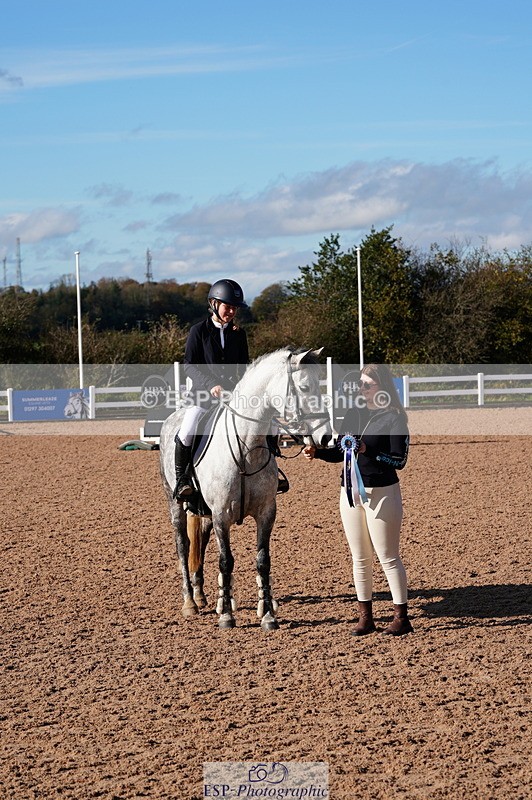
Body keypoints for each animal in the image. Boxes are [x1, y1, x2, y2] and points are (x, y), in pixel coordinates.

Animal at [159, 347, 332, 631]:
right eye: (305, 387)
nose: (326, 437)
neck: (245, 449)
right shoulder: (221, 515)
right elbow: (226, 560)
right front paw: (227, 617)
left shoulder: (266, 513)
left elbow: (262, 561)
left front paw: (268, 614)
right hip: (176, 504)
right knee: (183, 545)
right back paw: (190, 602)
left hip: (205, 513)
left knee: (201, 542)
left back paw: (204, 596)